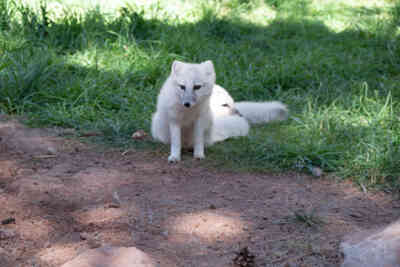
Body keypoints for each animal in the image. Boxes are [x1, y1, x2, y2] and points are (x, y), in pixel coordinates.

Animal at [151, 59, 288, 162]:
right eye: (182, 87)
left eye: (197, 87)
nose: (187, 104)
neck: (188, 113)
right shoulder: (174, 121)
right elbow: (175, 143)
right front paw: (174, 157)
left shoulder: (199, 121)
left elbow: (198, 140)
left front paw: (199, 155)